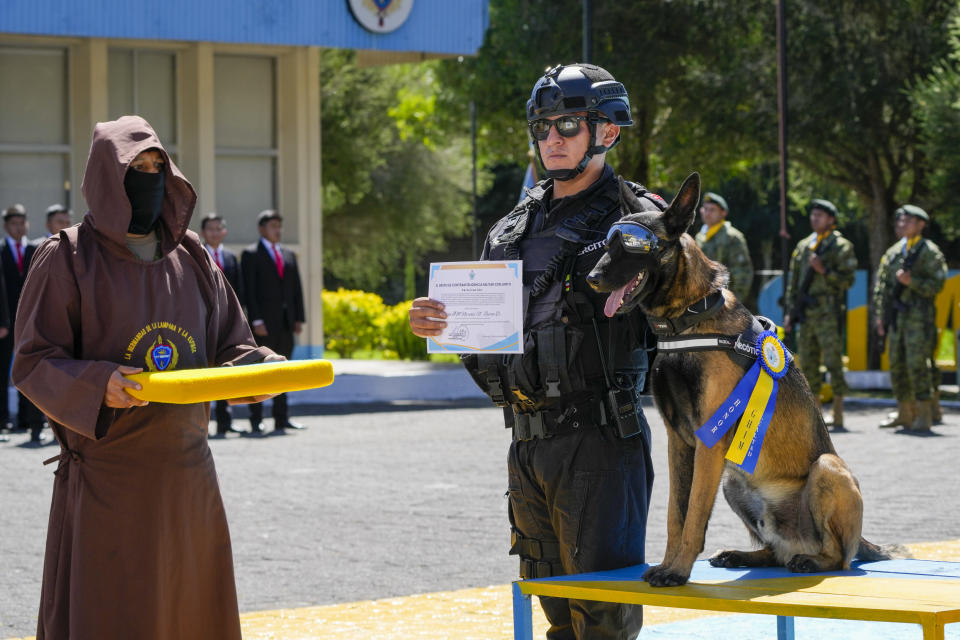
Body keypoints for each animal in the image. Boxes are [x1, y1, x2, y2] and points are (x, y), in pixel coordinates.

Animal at [588, 172, 896, 588]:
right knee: (775, 552)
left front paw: (678, 571)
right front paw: (668, 564)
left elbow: (693, 515)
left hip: (827, 468)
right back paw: (743, 555)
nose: (592, 278)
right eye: (608, 244)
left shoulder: (708, 443)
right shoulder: (678, 443)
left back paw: (811, 561)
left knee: (838, 557)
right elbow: (674, 515)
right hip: (734, 483)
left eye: (633, 246)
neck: (689, 319)